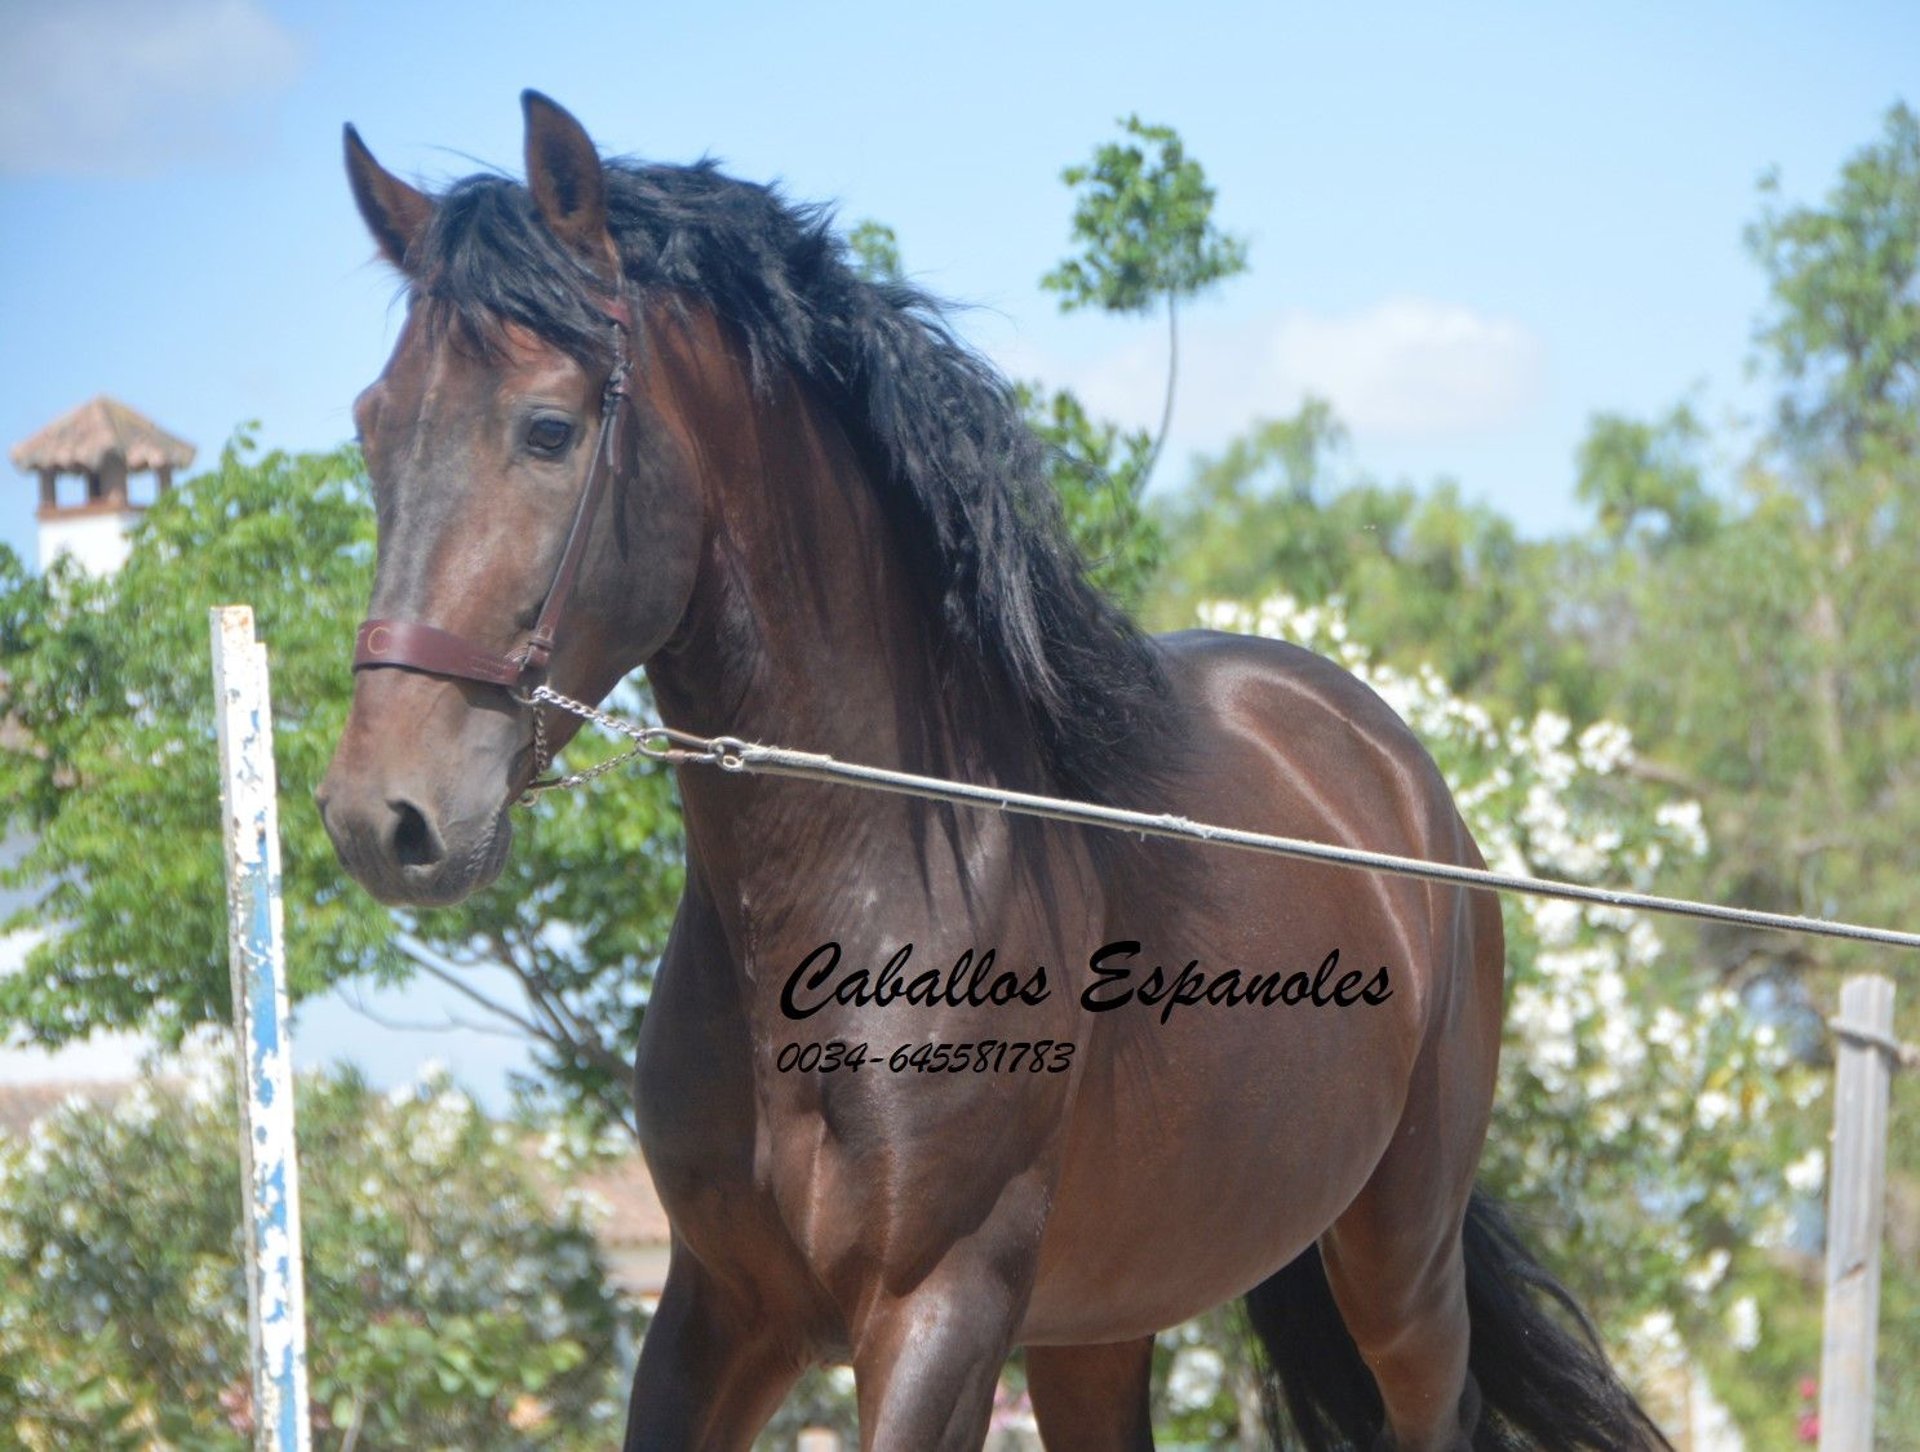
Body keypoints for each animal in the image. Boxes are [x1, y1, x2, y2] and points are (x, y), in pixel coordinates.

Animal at [314, 93, 1666, 1452]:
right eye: (372, 426)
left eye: (548, 430)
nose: (386, 816)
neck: (866, 895)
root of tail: (1394, 773)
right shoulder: (719, 1312)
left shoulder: (937, 1313)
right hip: (1101, 1322)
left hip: (1398, 1270)